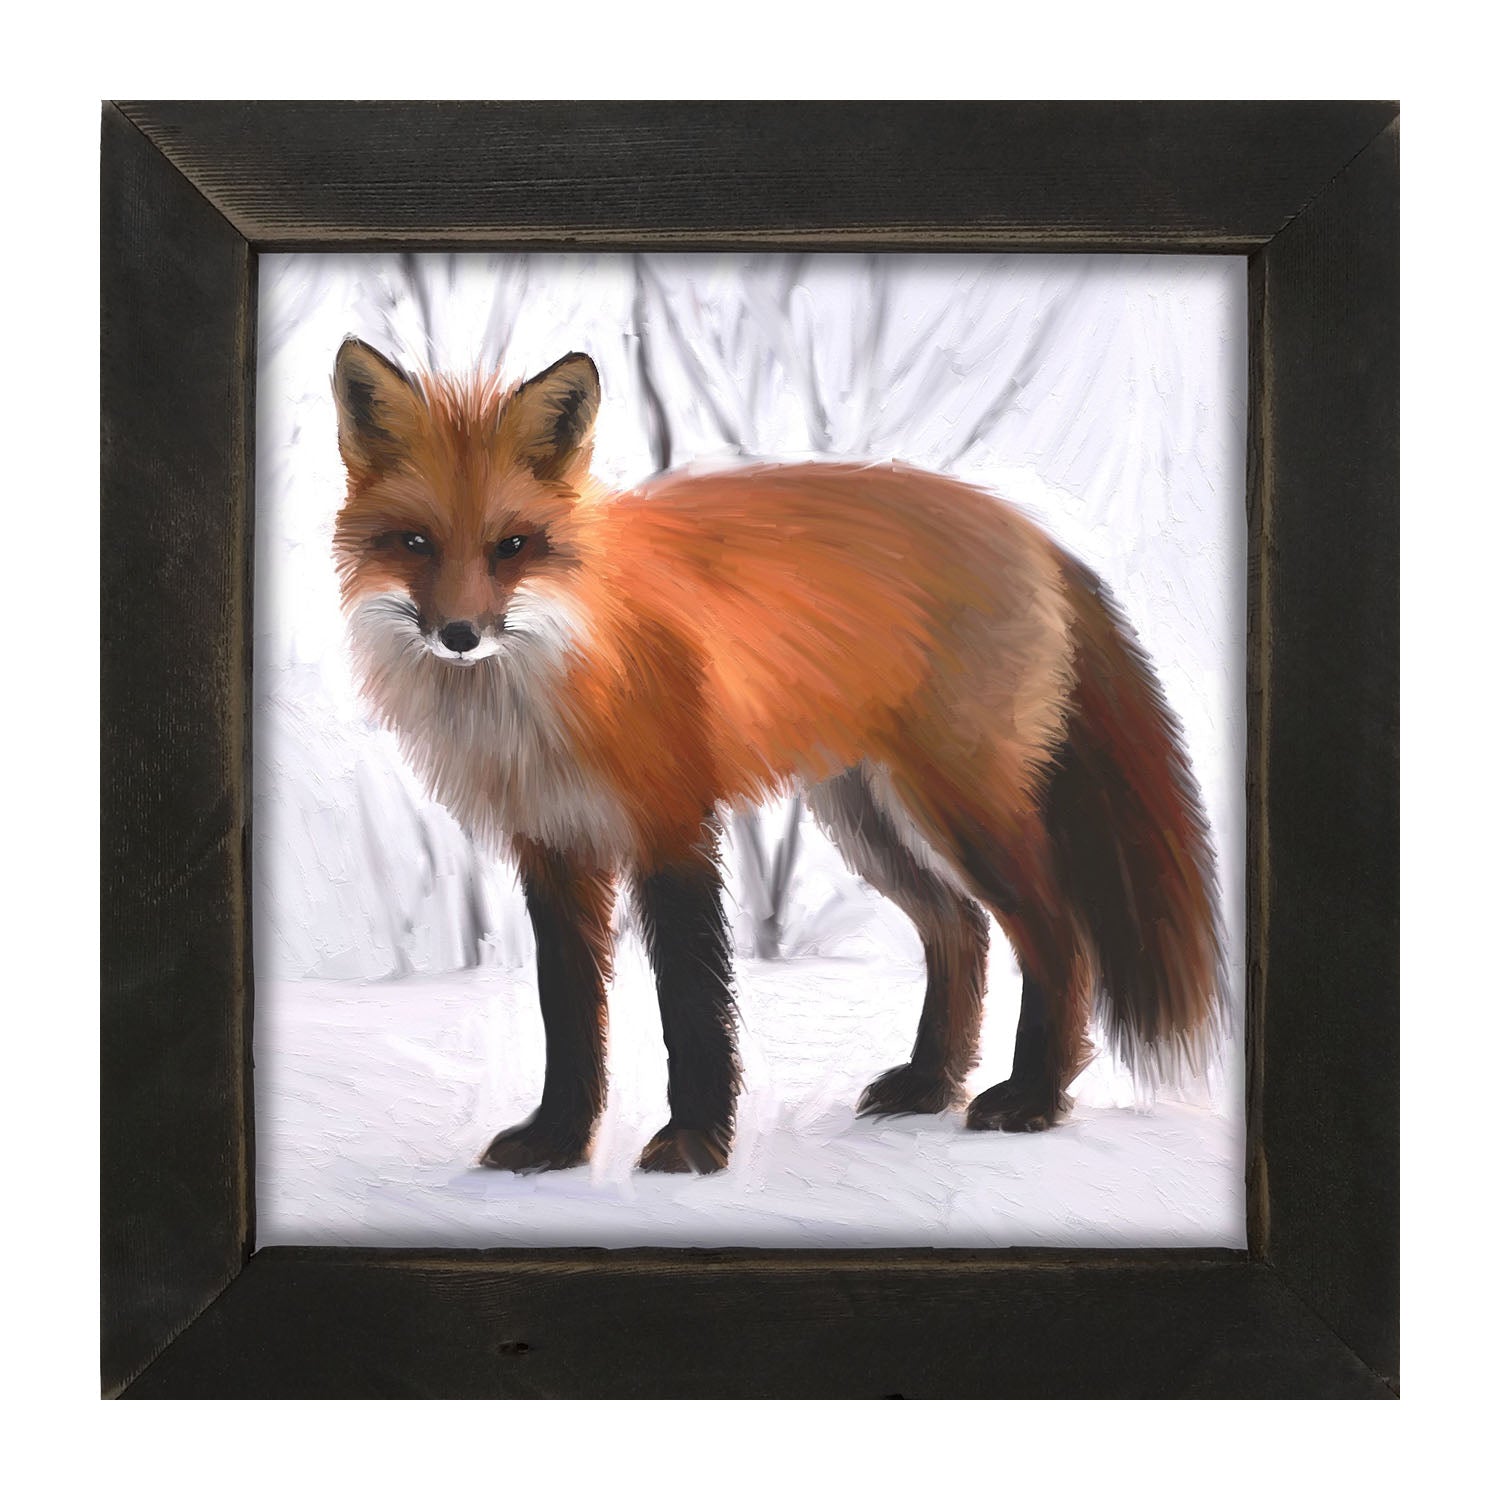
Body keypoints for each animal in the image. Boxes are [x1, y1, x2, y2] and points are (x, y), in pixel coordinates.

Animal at [331, 337, 1227, 1175]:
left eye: (513, 546)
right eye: (415, 542)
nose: (459, 635)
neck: (552, 685)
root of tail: (1028, 529)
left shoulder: (673, 826)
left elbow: (691, 1003)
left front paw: (694, 1145)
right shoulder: (553, 848)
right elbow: (570, 1013)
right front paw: (557, 1141)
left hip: (964, 811)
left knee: (1056, 937)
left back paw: (1034, 1098)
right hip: (866, 819)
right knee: (960, 929)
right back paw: (930, 1084)